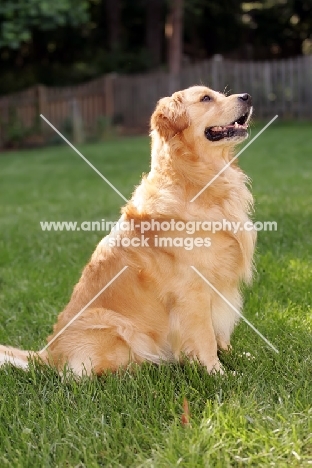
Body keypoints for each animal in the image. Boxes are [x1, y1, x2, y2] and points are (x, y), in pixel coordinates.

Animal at [0, 85, 256, 376]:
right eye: (205, 99)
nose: (247, 97)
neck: (197, 179)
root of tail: (48, 355)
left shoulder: (221, 286)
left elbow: (220, 335)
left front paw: (237, 356)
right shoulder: (192, 290)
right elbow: (204, 338)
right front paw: (219, 373)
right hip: (116, 327)